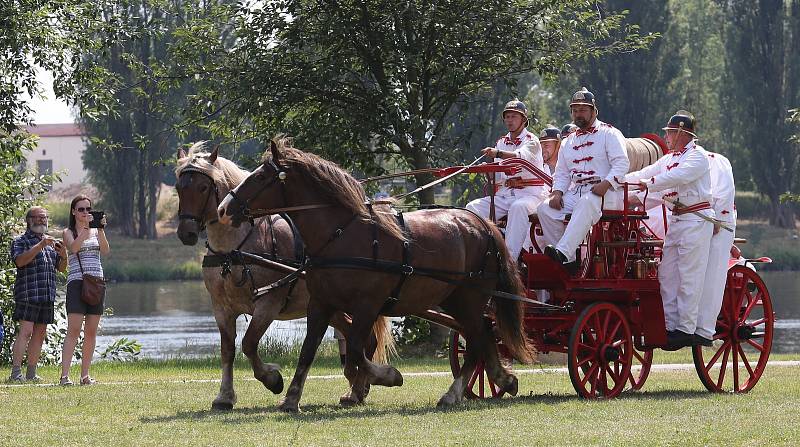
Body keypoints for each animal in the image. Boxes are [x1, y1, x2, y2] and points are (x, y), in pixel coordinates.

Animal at [175, 143, 394, 410]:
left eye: (203, 187)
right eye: (179, 187)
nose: (185, 233)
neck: (234, 249)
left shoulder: (268, 304)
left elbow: (249, 343)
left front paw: (272, 379)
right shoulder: (221, 308)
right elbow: (227, 350)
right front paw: (224, 396)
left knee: (364, 340)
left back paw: (357, 386)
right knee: (361, 337)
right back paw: (357, 387)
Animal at [216, 140, 536, 412]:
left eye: (260, 177)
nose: (222, 209)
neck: (341, 234)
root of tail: (483, 224)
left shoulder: (367, 305)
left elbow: (358, 350)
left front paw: (387, 376)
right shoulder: (320, 303)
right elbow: (309, 350)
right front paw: (292, 398)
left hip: (470, 297)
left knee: (477, 338)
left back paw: (457, 391)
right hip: (455, 299)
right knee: (482, 334)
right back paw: (501, 378)